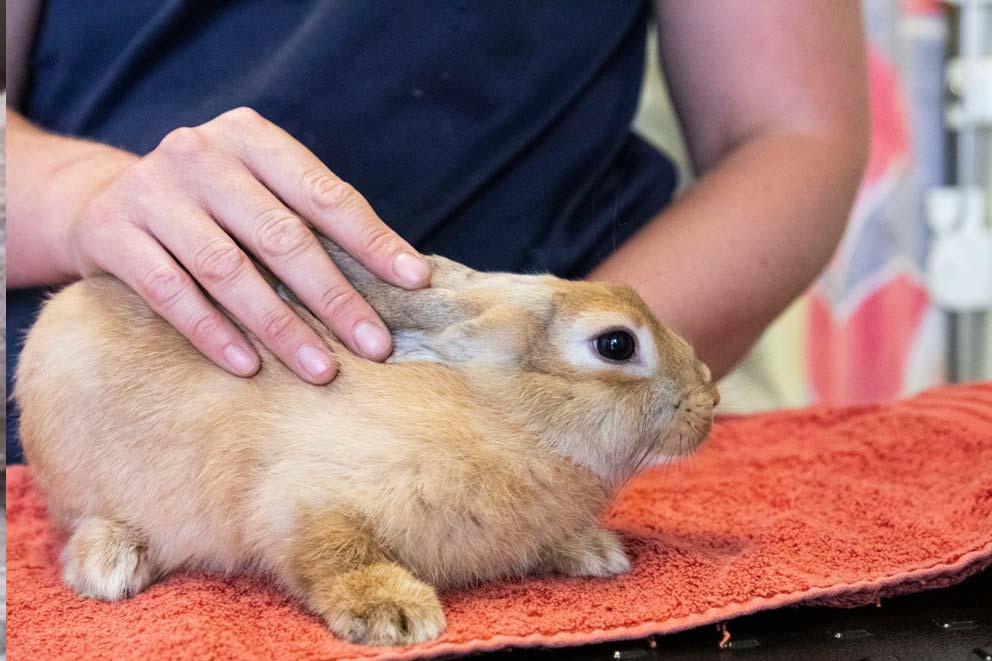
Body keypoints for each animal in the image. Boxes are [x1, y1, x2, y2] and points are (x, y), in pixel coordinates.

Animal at [11, 238, 716, 644]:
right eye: (616, 343)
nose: (708, 399)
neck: (504, 414)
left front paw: (595, 552)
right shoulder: (303, 498)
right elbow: (334, 553)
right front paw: (396, 614)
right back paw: (110, 563)